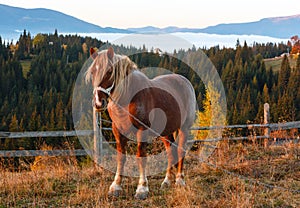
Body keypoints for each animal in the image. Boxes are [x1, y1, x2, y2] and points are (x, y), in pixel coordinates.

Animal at [85, 47, 197, 200]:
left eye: (109, 71)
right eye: (92, 72)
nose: (98, 103)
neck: (127, 98)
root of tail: (185, 82)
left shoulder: (141, 130)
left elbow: (141, 158)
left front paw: (142, 188)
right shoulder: (118, 131)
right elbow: (121, 158)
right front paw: (115, 187)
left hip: (184, 128)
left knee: (180, 151)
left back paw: (180, 180)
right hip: (165, 132)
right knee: (170, 153)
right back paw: (167, 181)